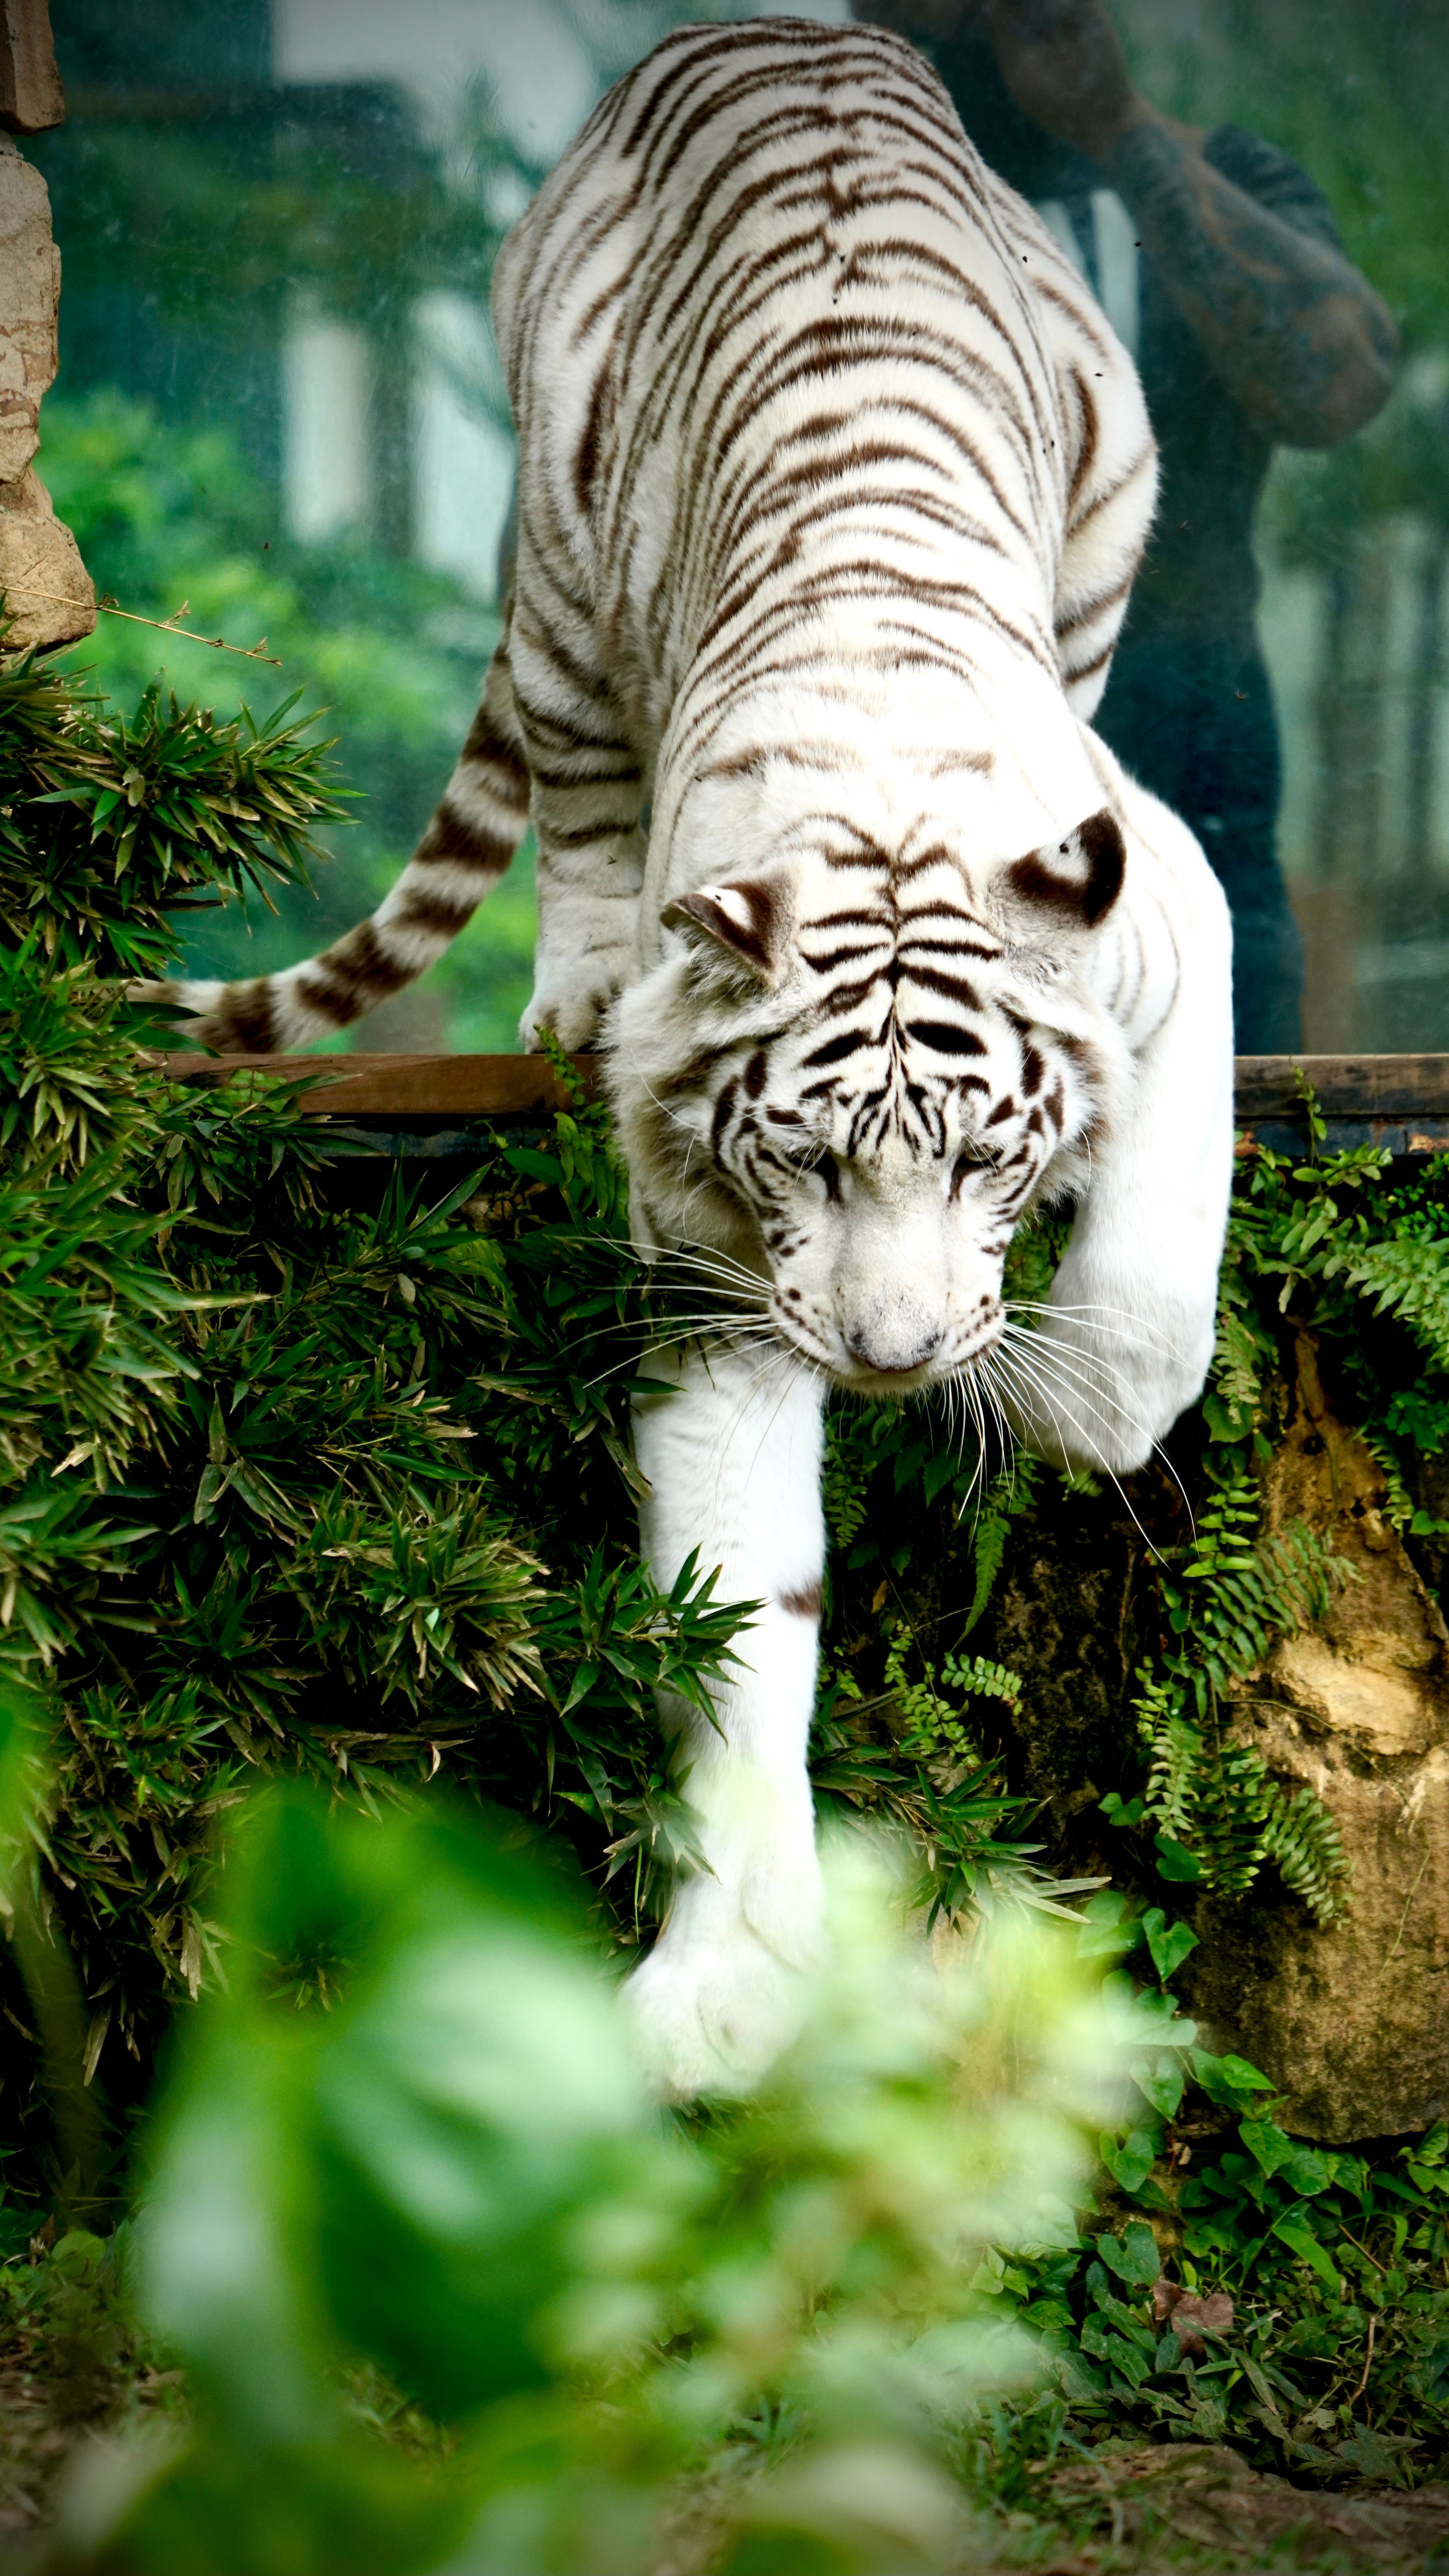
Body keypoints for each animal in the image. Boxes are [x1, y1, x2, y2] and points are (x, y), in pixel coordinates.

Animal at [141, 18, 1234, 2098]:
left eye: (986, 1158)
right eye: (808, 1159)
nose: (892, 1361)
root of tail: (780, 29)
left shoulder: (1172, 922)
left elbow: (1146, 1296)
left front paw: (1067, 1399)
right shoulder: (718, 1265)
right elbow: (740, 1593)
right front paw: (726, 1983)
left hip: (1113, 507)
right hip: (568, 588)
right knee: (571, 813)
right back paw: (567, 997)